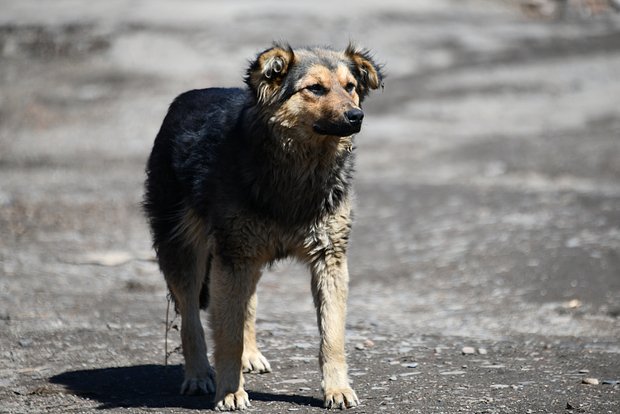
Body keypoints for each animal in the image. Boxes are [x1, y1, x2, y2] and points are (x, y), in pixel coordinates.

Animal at [143, 42, 382, 410]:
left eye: (350, 87)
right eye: (315, 88)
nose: (357, 116)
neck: (299, 170)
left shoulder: (329, 259)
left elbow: (332, 335)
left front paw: (337, 389)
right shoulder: (233, 257)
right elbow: (226, 336)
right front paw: (230, 391)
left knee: (245, 305)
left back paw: (250, 355)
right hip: (185, 251)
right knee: (191, 317)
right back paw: (198, 374)